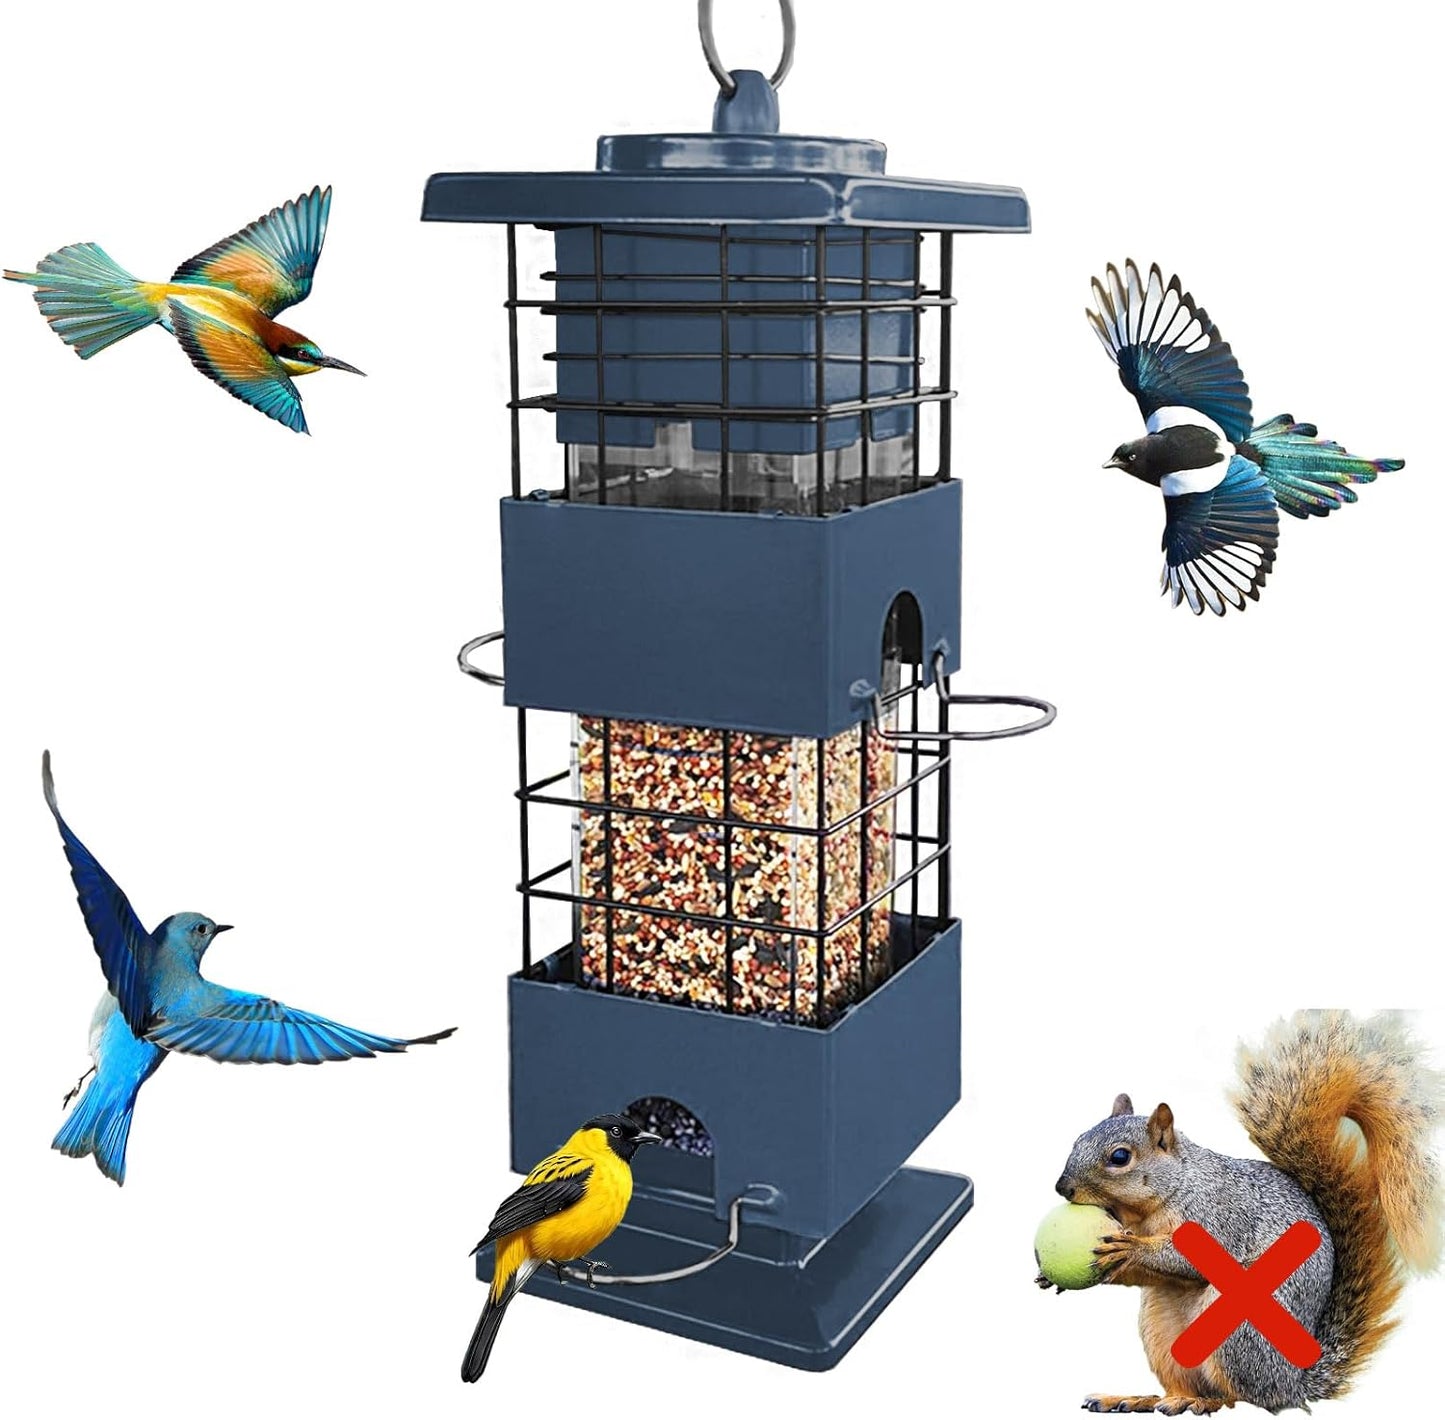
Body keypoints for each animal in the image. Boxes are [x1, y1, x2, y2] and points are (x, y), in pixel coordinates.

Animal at [1043, 1010, 1443, 1416]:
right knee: (1191, 1383)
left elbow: (1187, 1259)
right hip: (1160, 1328)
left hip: (1239, 1333)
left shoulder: (1219, 1214)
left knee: (1240, 1396)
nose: (1063, 1187)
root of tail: (1292, 1384)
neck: (1158, 1202)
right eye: (1078, 1139)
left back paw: (1201, 1401)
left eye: (1120, 1157)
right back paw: (1145, 1397)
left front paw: (1132, 1249)